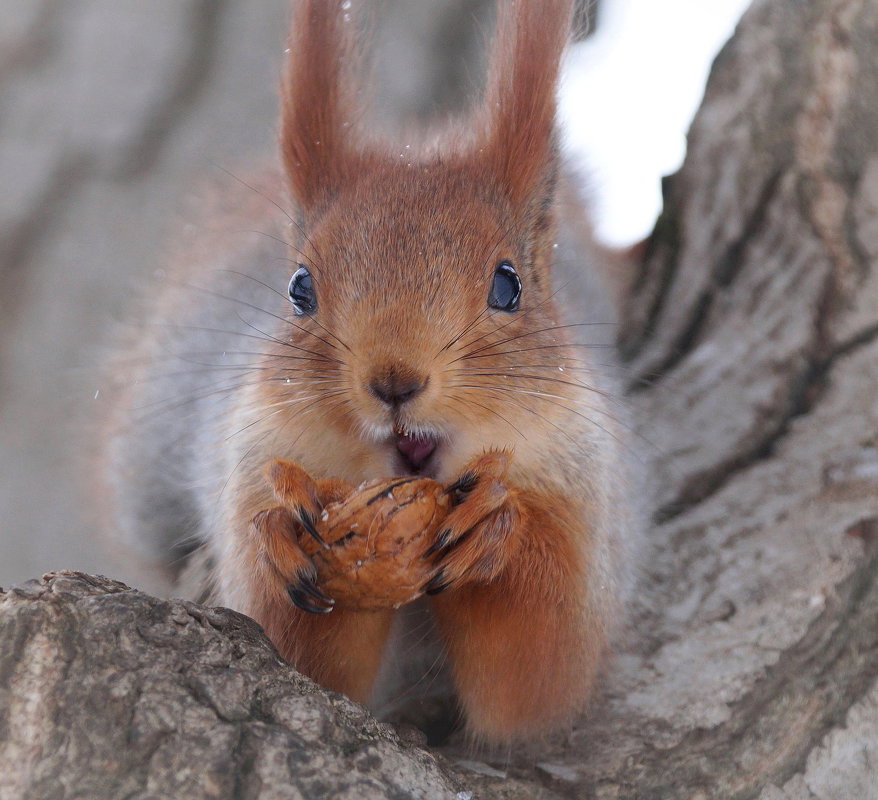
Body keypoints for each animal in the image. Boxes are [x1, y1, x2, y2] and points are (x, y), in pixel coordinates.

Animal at [105, 0, 640, 744]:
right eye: (299, 288)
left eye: (508, 286)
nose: (393, 381)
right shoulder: (251, 459)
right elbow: (306, 656)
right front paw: (284, 532)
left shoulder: (588, 491)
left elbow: (539, 676)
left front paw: (495, 527)